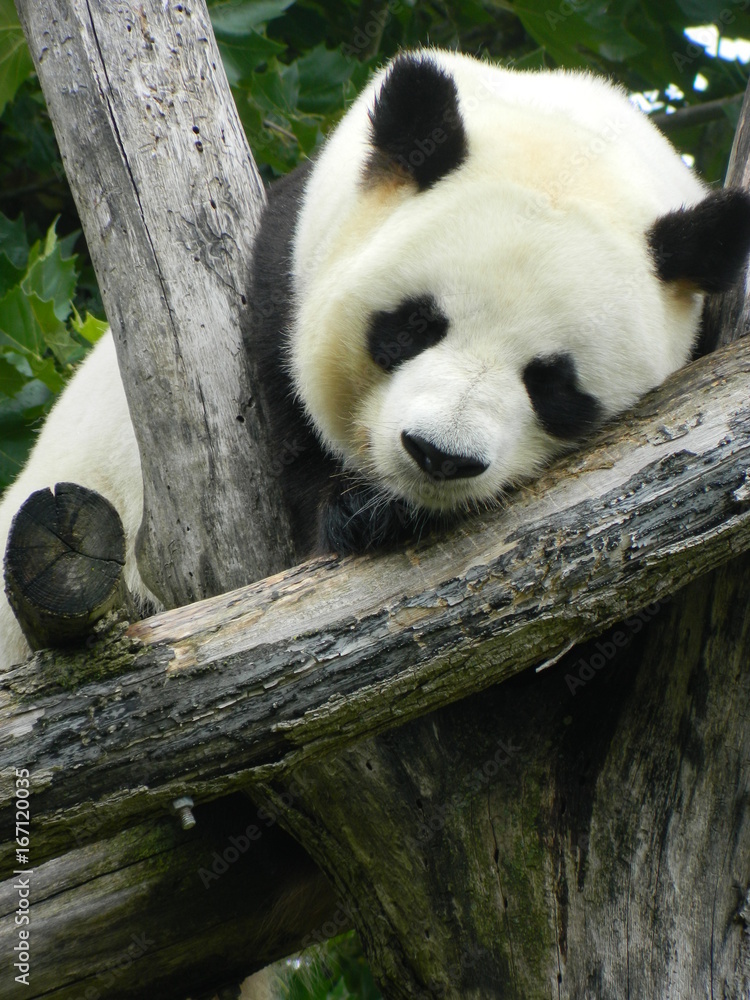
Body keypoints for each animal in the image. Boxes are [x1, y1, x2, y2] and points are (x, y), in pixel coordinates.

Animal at [1, 48, 750, 671]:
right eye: (415, 325)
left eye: (553, 383)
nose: (440, 456)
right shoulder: (286, 270)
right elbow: (289, 426)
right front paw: (359, 510)